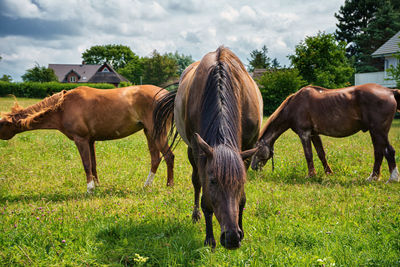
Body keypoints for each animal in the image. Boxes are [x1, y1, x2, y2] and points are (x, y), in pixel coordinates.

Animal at [0, 86, 175, 193]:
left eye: (2, 123)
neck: (63, 107)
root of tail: (165, 95)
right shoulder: (91, 141)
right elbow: (93, 164)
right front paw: (97, 186)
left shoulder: (81, 140)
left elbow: (86, 164)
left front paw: (89, 189)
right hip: (150, 133)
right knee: (155, 159)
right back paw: (147, 185)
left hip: (157, 134)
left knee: (169, 156)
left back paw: (169, 186)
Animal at [152, 46, 262, 251]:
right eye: (213, 181)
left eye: (241, 182)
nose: (231, 237)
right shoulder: (199, 150)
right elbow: (205, 198)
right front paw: (209, 238)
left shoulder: (248, 149)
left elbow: (242, 199)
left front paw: (242, 232)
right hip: (191, 151)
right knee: (196, 182)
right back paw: (196, 215)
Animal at [252, 84, 400, 184]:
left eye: (255, 151)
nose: (253, 167)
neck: (294, 106)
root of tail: (389, 91)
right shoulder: (314, 134)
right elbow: (321, 153)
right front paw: (328, 173)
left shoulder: (304, 134)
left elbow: (309, 155)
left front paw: (311, 175)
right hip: (375, 132)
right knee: (379, 152)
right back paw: (374, 177)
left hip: (379, 131)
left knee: (388, 151)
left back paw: (391, 178)